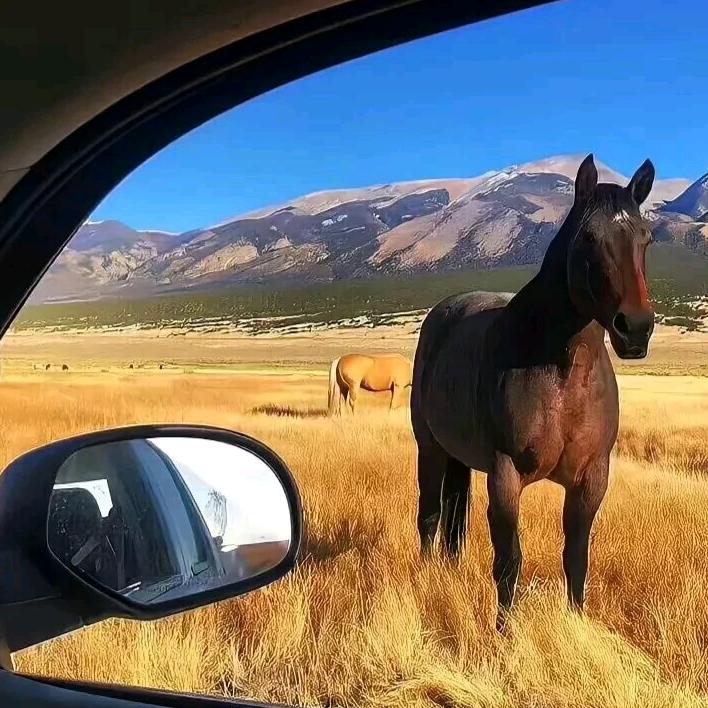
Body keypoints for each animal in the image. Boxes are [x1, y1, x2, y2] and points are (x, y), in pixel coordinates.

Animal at [411, 154, 656, 630]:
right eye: (590, 237)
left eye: (646, 237)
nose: (635, 329)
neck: (561, 371)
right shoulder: (505, 476)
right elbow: (509, 562)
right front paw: (504, 634)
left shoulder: (591, 480)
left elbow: (576, 559)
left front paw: (577, 626)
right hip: (429, 448)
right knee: (429, 517)